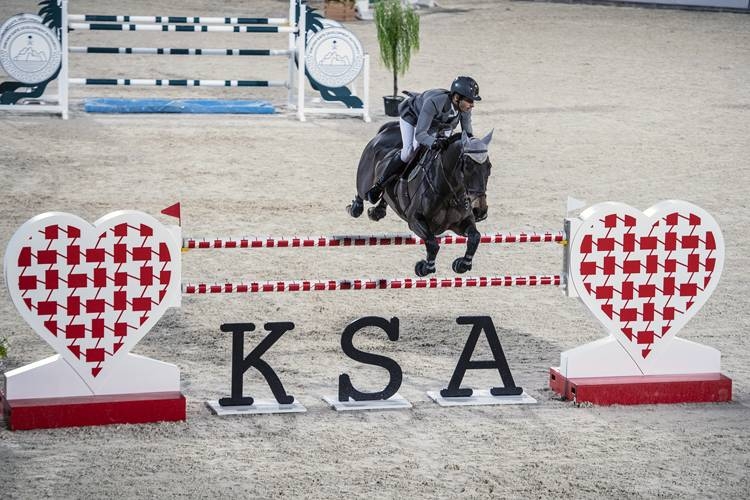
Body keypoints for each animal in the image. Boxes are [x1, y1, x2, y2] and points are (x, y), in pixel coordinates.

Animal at [346, 122, 494, 278]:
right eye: (467, 166)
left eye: (489, 167)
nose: (480, 211)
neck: (449, 193)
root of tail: (387, 131)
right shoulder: (415, 221)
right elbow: (432, 243)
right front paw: (424, 267)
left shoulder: (461, 223)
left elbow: (475, 237)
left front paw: (463, 264)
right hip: (365, 179)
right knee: (363, 193)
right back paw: (356, 207)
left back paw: (377, 211)